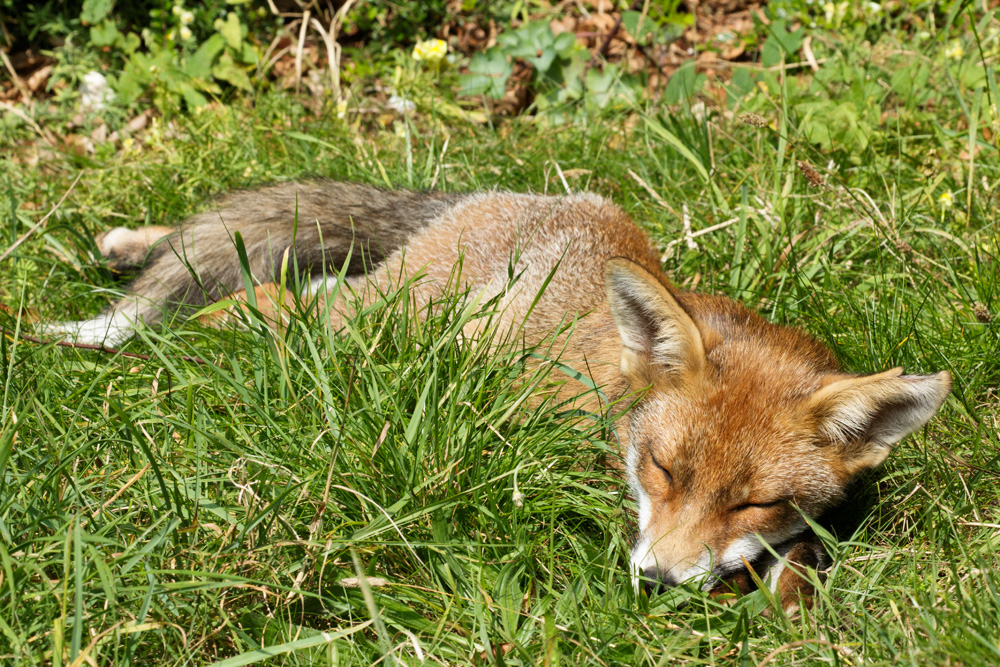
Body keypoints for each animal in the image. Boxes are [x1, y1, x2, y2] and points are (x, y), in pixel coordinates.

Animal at [49, 180, 951, 609]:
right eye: (663, 471)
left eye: (754, 502)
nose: (657, 581)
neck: (610, 407)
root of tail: (499, 199)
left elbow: (796, 555)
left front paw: (794, 594)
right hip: (372, 322)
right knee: (262, 293)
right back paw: (149, 327)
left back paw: (124, 249)